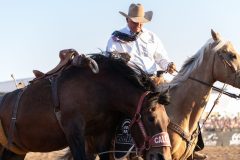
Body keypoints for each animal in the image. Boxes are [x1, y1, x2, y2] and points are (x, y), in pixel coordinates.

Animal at [0, 54, 172, 160]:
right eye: (150, 118)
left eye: (168, 121)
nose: (162, 157)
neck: (99, 90)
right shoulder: (74, 133)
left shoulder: (102, 135)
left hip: (14, 152)